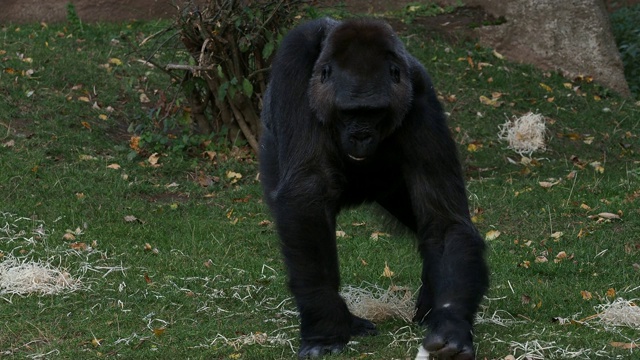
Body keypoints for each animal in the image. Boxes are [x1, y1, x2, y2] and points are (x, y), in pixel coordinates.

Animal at [258, 17, 488, 360]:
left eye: (374, 112)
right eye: (349, 112)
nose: (361, 136)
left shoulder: (420, 93)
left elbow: (445, 220)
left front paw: (450, 324)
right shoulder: (293, 64)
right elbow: (306, 193)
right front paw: (326, 325)